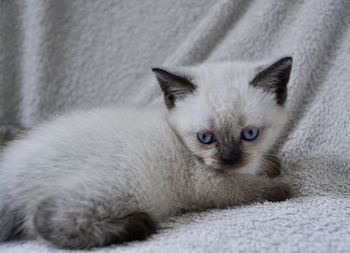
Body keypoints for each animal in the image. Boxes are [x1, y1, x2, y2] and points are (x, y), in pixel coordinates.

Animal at [0, 56, 292, 249]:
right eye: (206, 137)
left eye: (250, 134)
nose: (229, 159)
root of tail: (12, 171)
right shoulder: (205, 182)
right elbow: (250, 188)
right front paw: (280, 186)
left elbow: (263, 164)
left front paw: (270, 165)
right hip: (130, 185)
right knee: (45, 217)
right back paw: (139, 225)